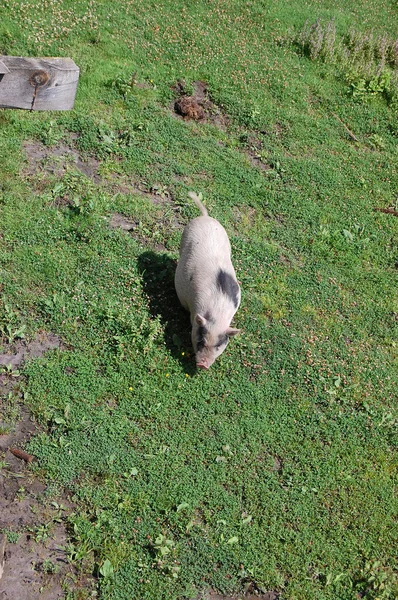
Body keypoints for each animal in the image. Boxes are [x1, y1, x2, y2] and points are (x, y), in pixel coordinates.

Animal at [175, 193, 243, 370]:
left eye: (219, 346)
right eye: (201, 341)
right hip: (184, 236)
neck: (218, 311)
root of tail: (205, 216)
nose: (203, 365)